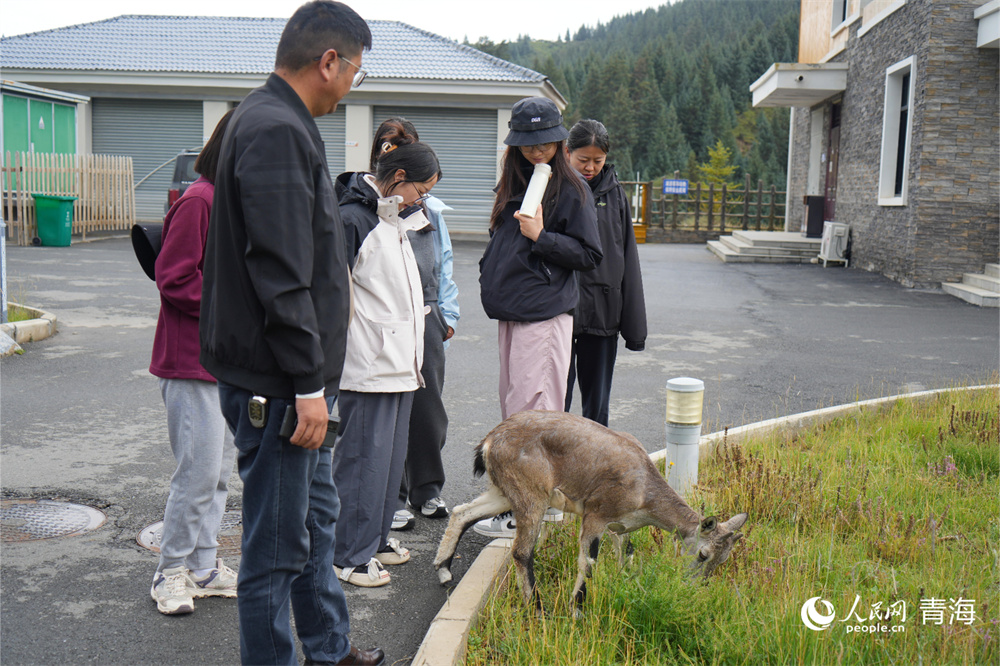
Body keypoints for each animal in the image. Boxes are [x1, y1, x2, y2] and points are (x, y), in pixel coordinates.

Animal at [434, 412, 748, 608]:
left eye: (723, 560)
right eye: (703, 554)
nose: (694, 586)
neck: (644, 489)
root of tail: (489, 442)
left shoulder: (620, 526)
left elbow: (627, 554)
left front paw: (628, 587)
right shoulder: (595, 516)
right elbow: (588, 563)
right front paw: (576, 611)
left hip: (504, 492)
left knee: (462, 512)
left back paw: (444, 571)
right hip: (531, 496)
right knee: (522, 552)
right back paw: (537, 609)